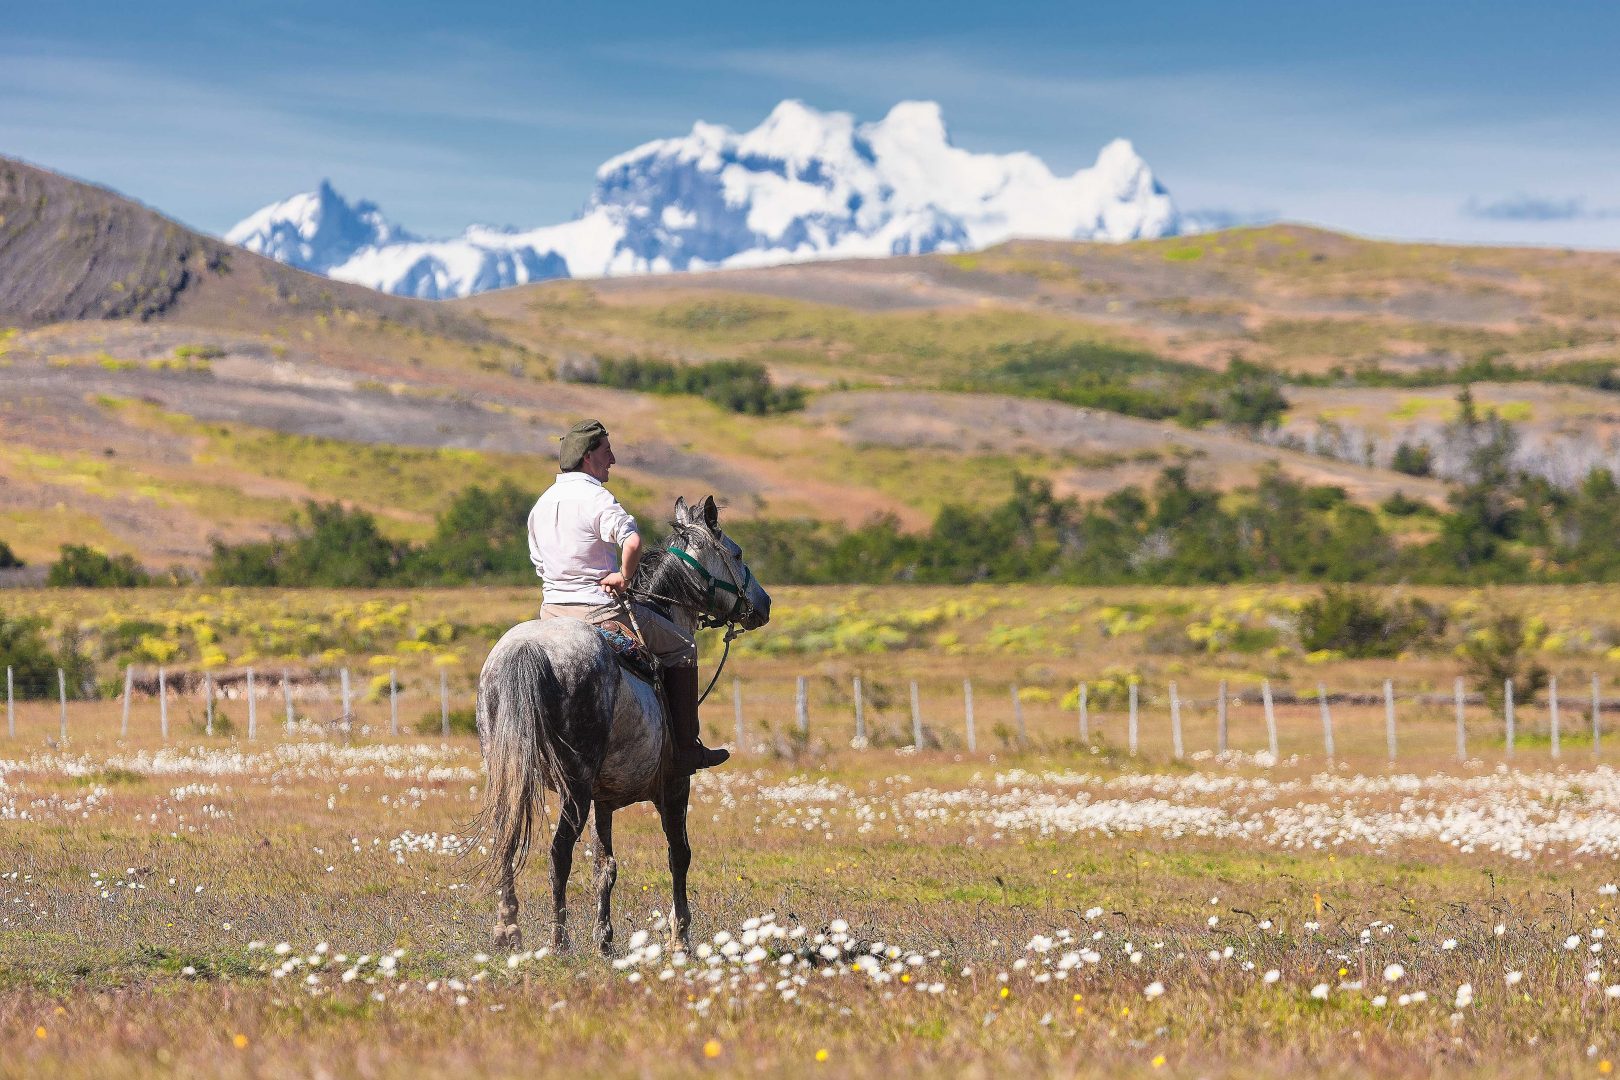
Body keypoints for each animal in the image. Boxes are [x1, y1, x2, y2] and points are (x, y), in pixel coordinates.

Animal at [474, 495, 772, 954]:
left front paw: (605, 941)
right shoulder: (674, 787)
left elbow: (605, 867)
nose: (764, 604)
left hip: (511, 775)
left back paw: (508, 932)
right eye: (736, 554)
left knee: (506, 839)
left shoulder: (604, 799)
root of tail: (525, 649)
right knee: (558, 853)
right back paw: (559, 941)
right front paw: (680, 937)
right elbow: (678, 855)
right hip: (574, 787)